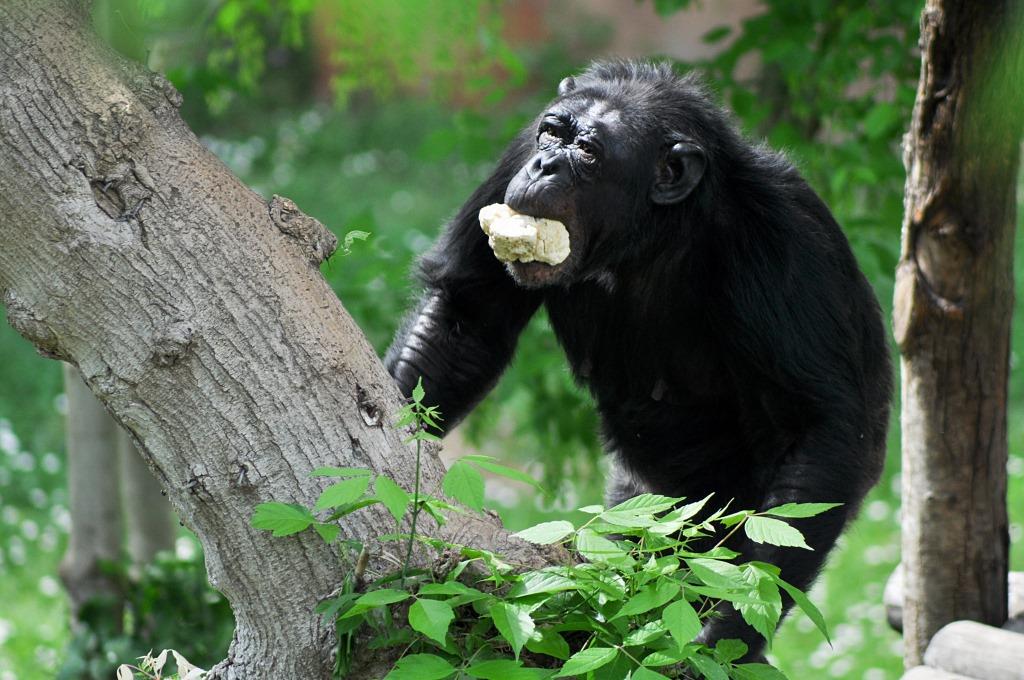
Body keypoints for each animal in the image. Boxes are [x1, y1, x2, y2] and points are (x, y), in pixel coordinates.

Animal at [385, 61, 888, 655]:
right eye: (550, 133)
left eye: (588, 151)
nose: (544, 164)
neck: (650, 232)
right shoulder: (513, 155)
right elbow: (469, 314)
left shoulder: (789, 238)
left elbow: (818, 424)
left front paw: (727, 630)